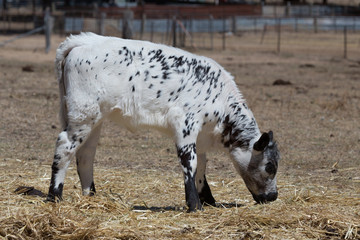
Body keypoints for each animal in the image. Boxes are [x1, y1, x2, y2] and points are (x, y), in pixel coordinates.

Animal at [46, 32, 280, 212]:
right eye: (270, 166)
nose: (274, 196)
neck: (220, 100)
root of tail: (85, 41)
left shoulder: (200, 137)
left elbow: (202, 167)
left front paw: (209, 200)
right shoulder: (185, 126)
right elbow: (190, 163)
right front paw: (195, 205)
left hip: (94, 119)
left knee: (85, 154)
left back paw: (91, 197)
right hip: (82, 114)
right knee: (65, 147)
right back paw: (54, 196)